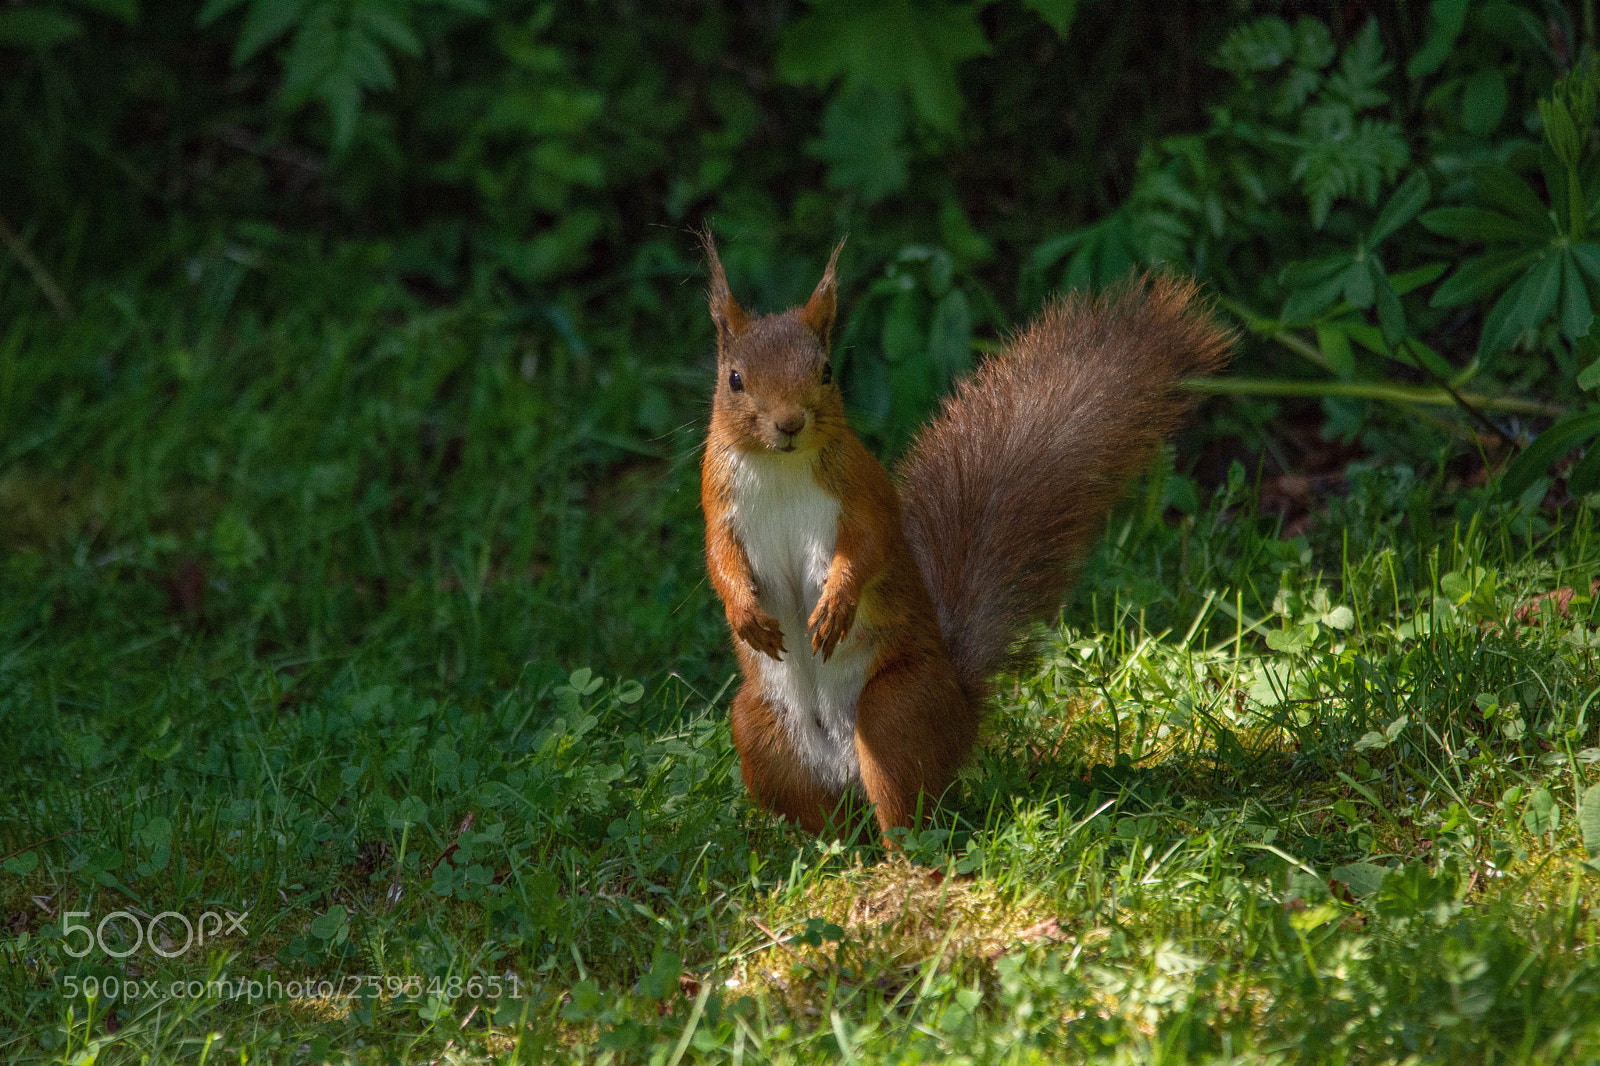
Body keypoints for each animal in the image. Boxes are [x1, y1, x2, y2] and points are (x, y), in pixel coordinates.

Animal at [698, 234, 1231, 839]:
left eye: (828, 371)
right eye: (734, 378)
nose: (789, 424)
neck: (781, 468)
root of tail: (959, 715)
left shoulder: (863, 493)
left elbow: (869, 547)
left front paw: (836, 604)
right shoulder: (719, 505)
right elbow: (720, 561)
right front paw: (745, 614)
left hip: (895, 709)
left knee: (904, 807)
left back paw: (896, 855)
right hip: (760, 729)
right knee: (822, 818)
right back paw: (826, 851)